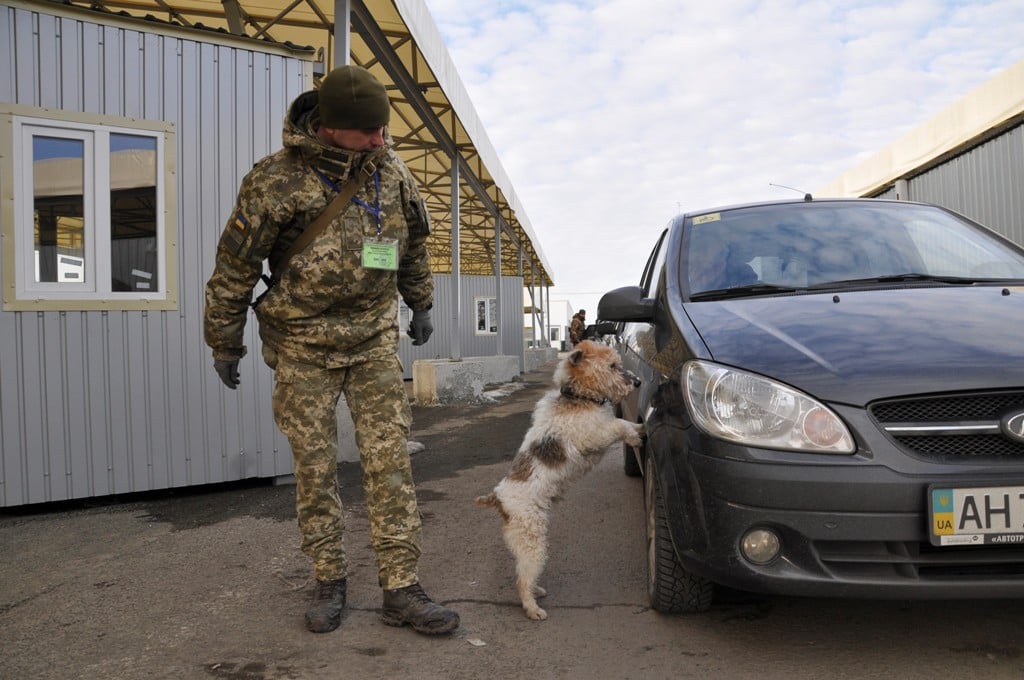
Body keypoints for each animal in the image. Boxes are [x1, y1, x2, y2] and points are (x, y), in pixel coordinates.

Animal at [475, 340, 643, 622]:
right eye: (612, 365)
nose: (638, 381)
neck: (579, 397)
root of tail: (498, 498)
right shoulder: (595, 435)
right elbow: (620, 424)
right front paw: (636, 437)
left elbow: (623, 422)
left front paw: (640, 430)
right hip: (533, 540)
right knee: (522, 580)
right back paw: (533, 609)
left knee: (524, 575)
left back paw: (537, 591)